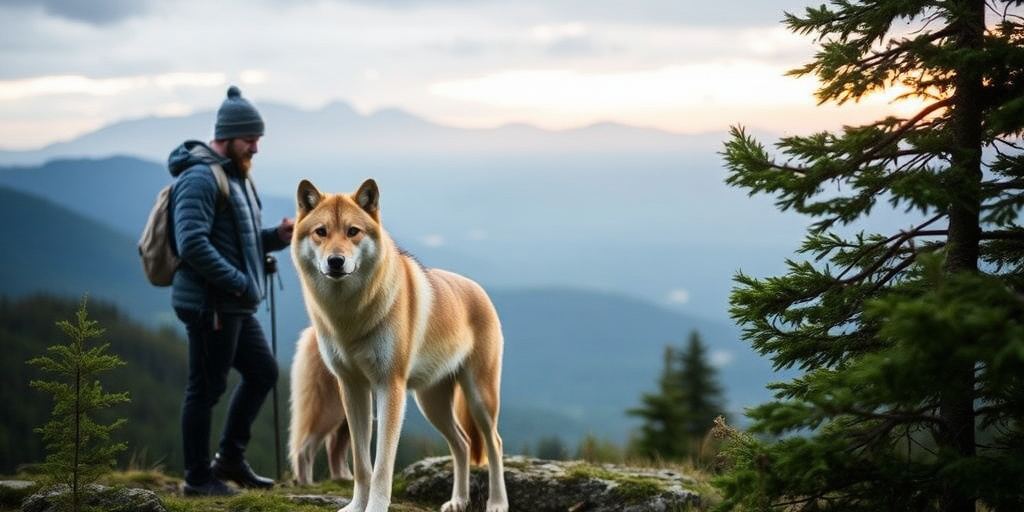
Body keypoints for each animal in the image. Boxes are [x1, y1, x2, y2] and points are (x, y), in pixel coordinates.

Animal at [290, 178, 508, 512]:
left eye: (353, 231)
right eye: (321, 232)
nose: (336, 261)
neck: (349, 316)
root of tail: (479, 290)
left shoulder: (388, 387)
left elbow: (382, 466)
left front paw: (375, 507)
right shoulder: (352, 389)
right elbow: (362, 464)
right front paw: (356, 506)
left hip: (479, 398)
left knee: (493, 444)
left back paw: (497, 502)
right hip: (431, 402)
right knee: (462, 443)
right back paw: (457, 501)